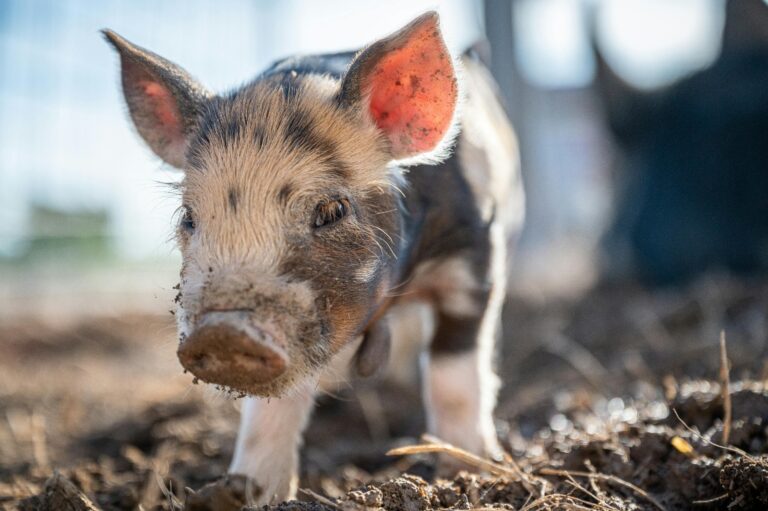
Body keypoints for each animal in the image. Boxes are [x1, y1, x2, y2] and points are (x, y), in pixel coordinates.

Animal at [104, 12, 523, 505]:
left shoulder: (473, 265)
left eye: (332, 210)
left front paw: (466, 471)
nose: (224, 331)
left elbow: (455, 376)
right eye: (189, 217)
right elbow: (272, 409)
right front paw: (247, 492)